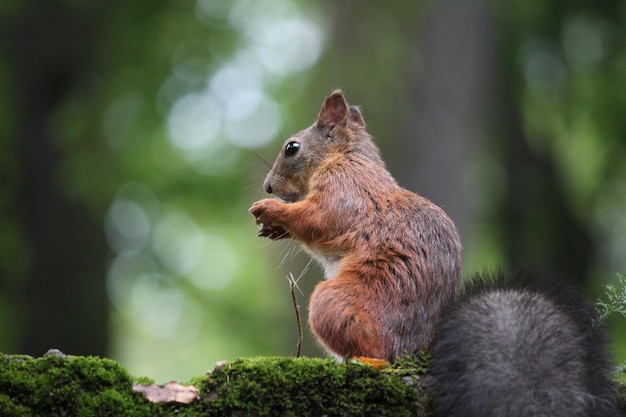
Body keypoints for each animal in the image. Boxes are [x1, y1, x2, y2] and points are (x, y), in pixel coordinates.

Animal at [251, 89, 460, 360]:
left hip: (341, 300)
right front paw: (274, 228)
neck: (343, 156)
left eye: (291, 148)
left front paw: (269, 208)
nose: (268, 187)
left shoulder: (346, 188)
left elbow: (318, 218)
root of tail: (412, 349)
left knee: (376, 351)